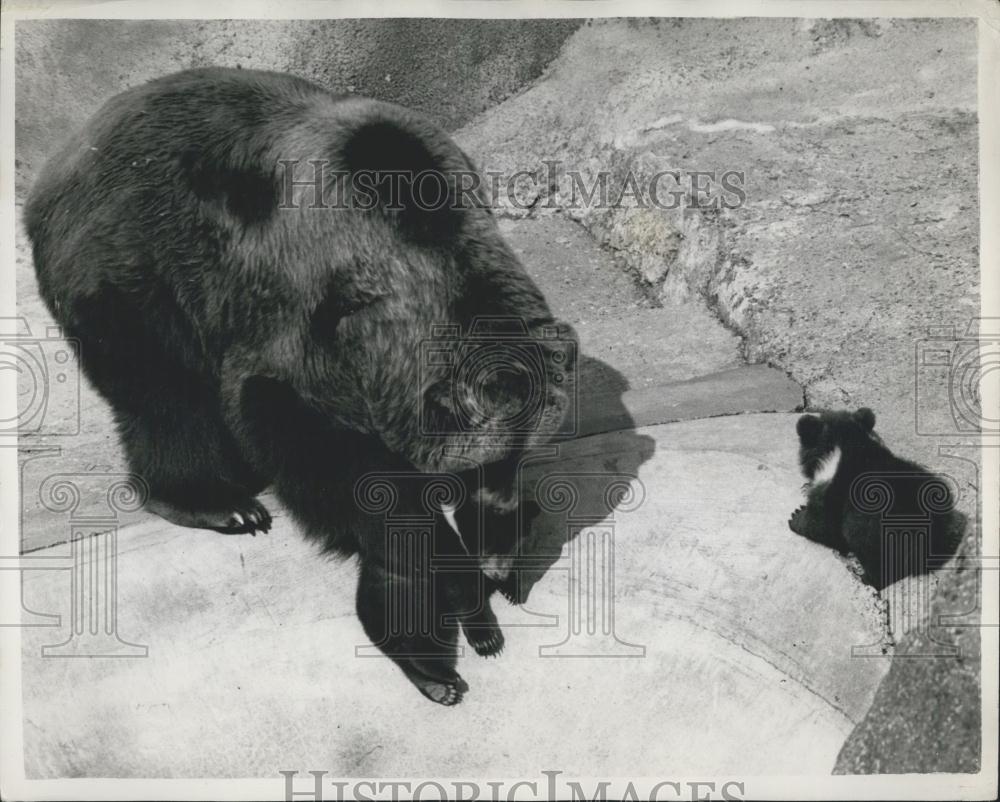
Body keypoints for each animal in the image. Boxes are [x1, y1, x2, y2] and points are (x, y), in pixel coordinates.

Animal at [25, 66, 576, 704]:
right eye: (477, 467)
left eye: (517, 460)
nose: (494, 564)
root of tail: (63, 154)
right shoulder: (296, 304)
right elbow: (312, 442)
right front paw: (451, 600)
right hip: (131, 267)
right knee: (164, 393)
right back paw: (220, 503)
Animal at [788, 407, 965, 590]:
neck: (849, 443)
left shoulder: (835, 488)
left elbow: (824, 526)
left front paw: (796, 515)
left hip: (876, 529)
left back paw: (864, 578)